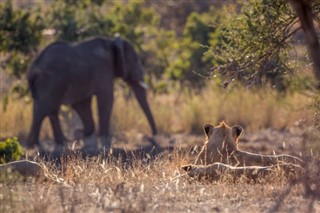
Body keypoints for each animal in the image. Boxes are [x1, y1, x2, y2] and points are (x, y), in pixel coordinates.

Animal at [26, 36, 158, 150]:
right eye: (134, 61)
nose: (152, 137)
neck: (111, 42)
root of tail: (33, 69)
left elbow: (82, 104)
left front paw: (78, 134)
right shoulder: (103, 69)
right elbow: (106, 98)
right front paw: (102, 140)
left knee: (47, 109)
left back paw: (53, 143)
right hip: (50, 81)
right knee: (44, 109)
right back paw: (38, 145)